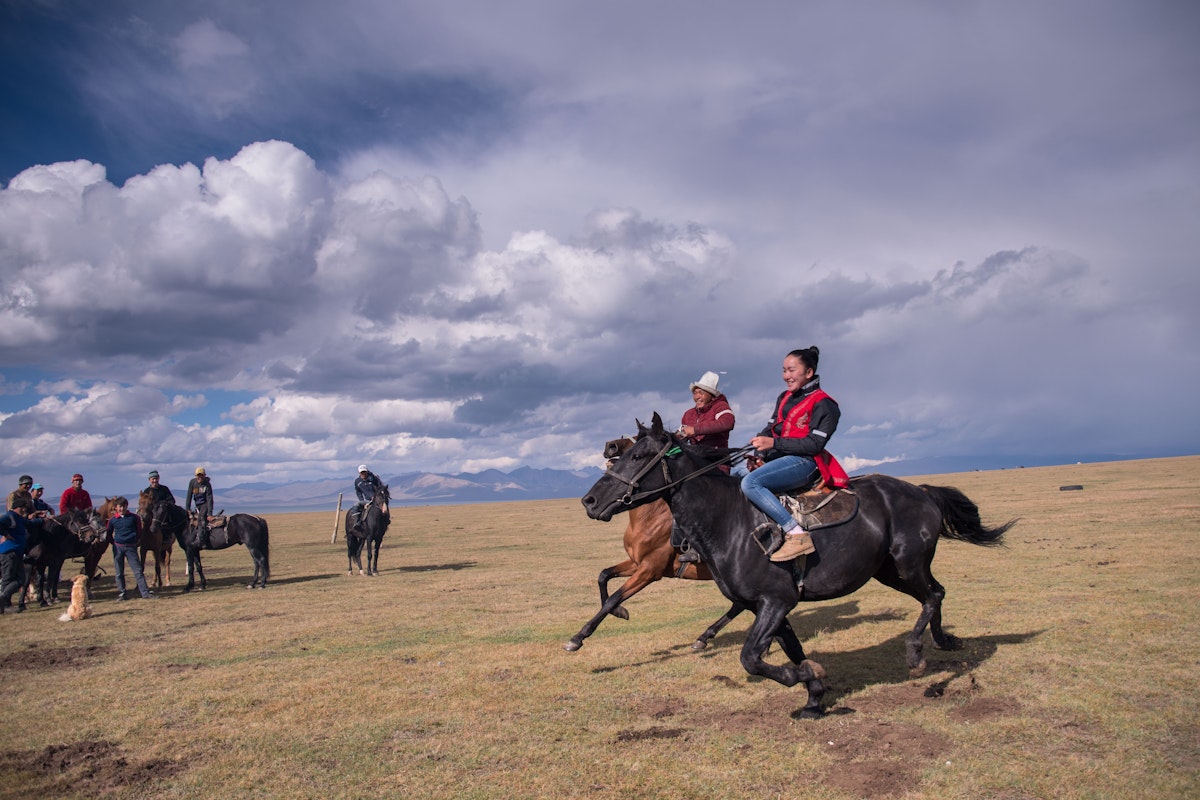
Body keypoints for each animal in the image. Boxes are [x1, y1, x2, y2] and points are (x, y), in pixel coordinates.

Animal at [561, 434, 739, 652]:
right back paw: (704, 636)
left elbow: (613, 598)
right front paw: (620, 612)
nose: (609, 446)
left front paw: (578, 637)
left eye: (635, 457)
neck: (650, 517)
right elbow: (604, 576)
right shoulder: (637, 562)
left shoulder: (649, 570)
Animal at [580, 417, 1012, 714]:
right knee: (935, 593)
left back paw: (917, 654)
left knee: (933, 595)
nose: (589, 501)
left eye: (637, 456)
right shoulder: (771, 604)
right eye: (620, 455)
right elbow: (790, 649)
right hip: (890, 571)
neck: (727, 519)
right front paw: (814, 697)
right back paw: (943, 641)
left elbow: (752, 658)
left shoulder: (767, 599)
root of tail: (920, 491)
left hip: (907, 565)